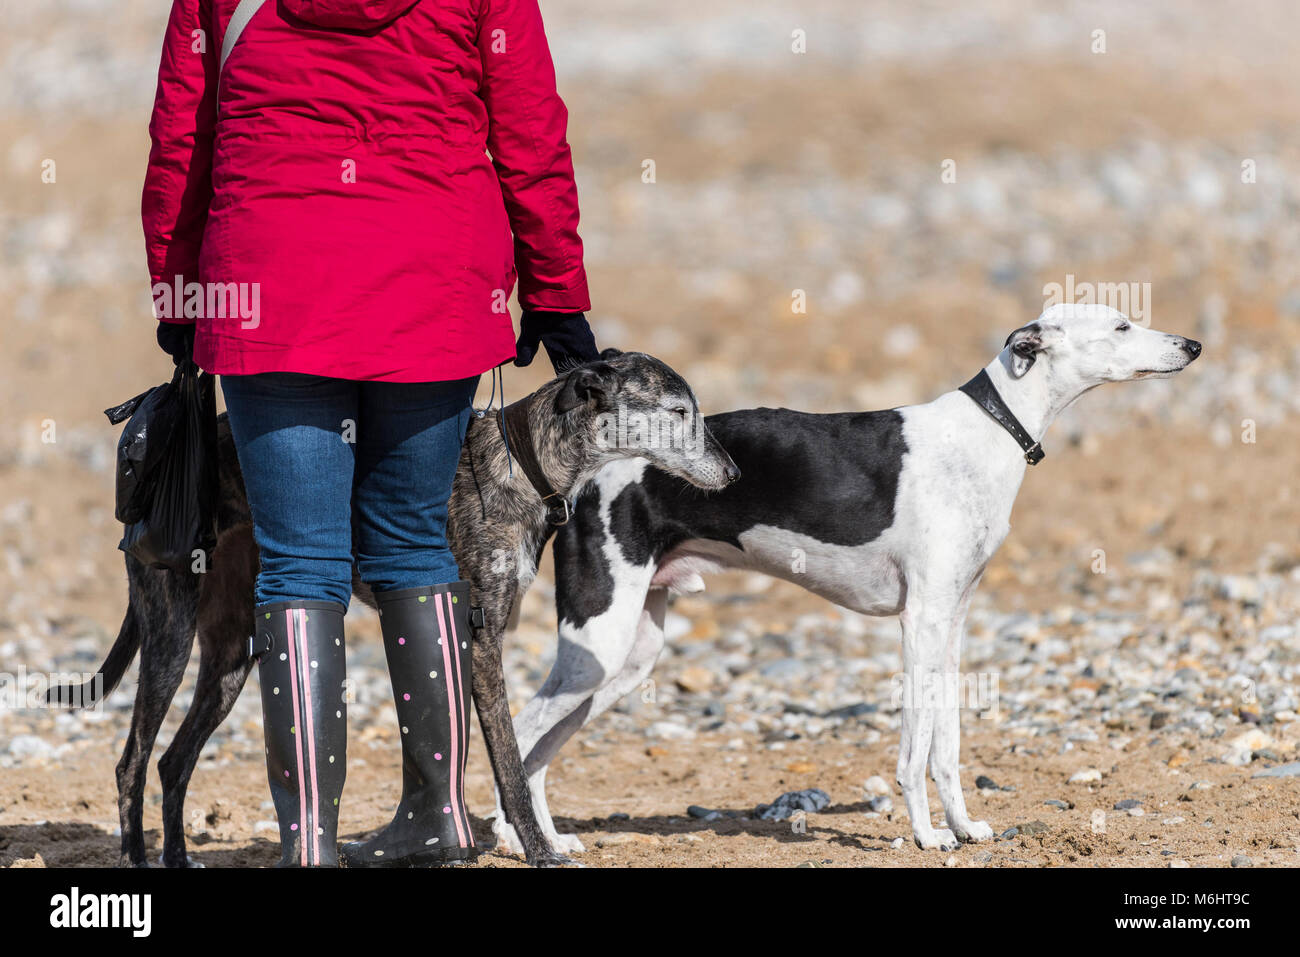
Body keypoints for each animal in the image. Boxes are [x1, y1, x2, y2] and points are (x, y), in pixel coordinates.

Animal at [493, 306, 1196, 852]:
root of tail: (582, 484)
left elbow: (947, 746)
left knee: (537, 755)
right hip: (598, 645)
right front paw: (927, 835)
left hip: (622, 658)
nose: (1192, 346)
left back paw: (545, 840)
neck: (988, 428)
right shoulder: (919, 624)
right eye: (1121, 324)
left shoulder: (950, 625)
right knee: (518, 735)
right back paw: (510, 840)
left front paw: (964, 827)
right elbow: (915, 752)